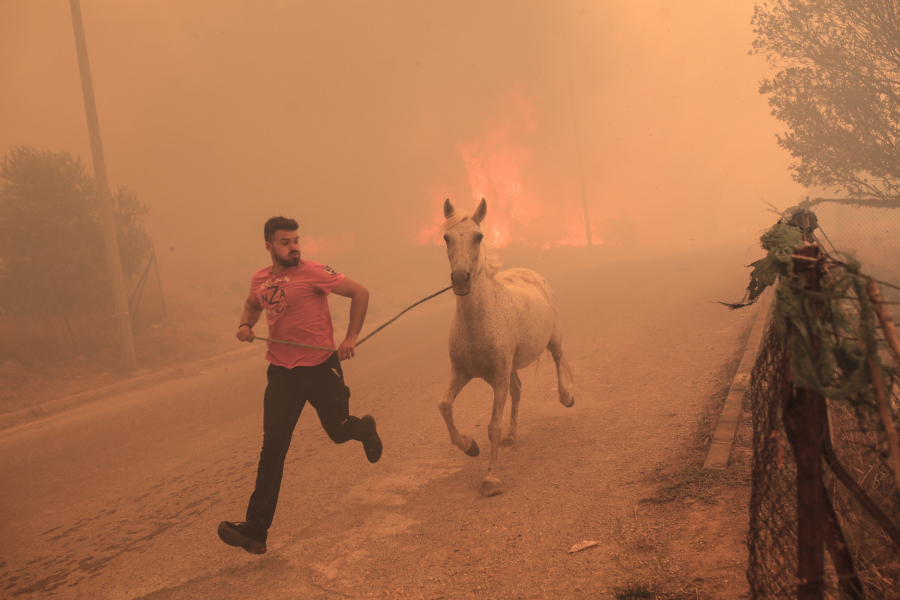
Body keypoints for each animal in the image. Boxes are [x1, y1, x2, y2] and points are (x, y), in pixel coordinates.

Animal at [438, 199, 576, 494]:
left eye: (478, 237)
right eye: (446, 237)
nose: (461, 278)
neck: (477, 321)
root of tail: (532, 273)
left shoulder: (499, 376)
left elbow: (492, 426)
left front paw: (491, 479)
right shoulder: (462, 372)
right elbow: (444, 406)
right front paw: (469, 446)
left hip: (553, 339)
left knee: (558, 360)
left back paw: (566, 397)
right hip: (509, 367)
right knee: (518, 389)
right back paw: (512, 435)